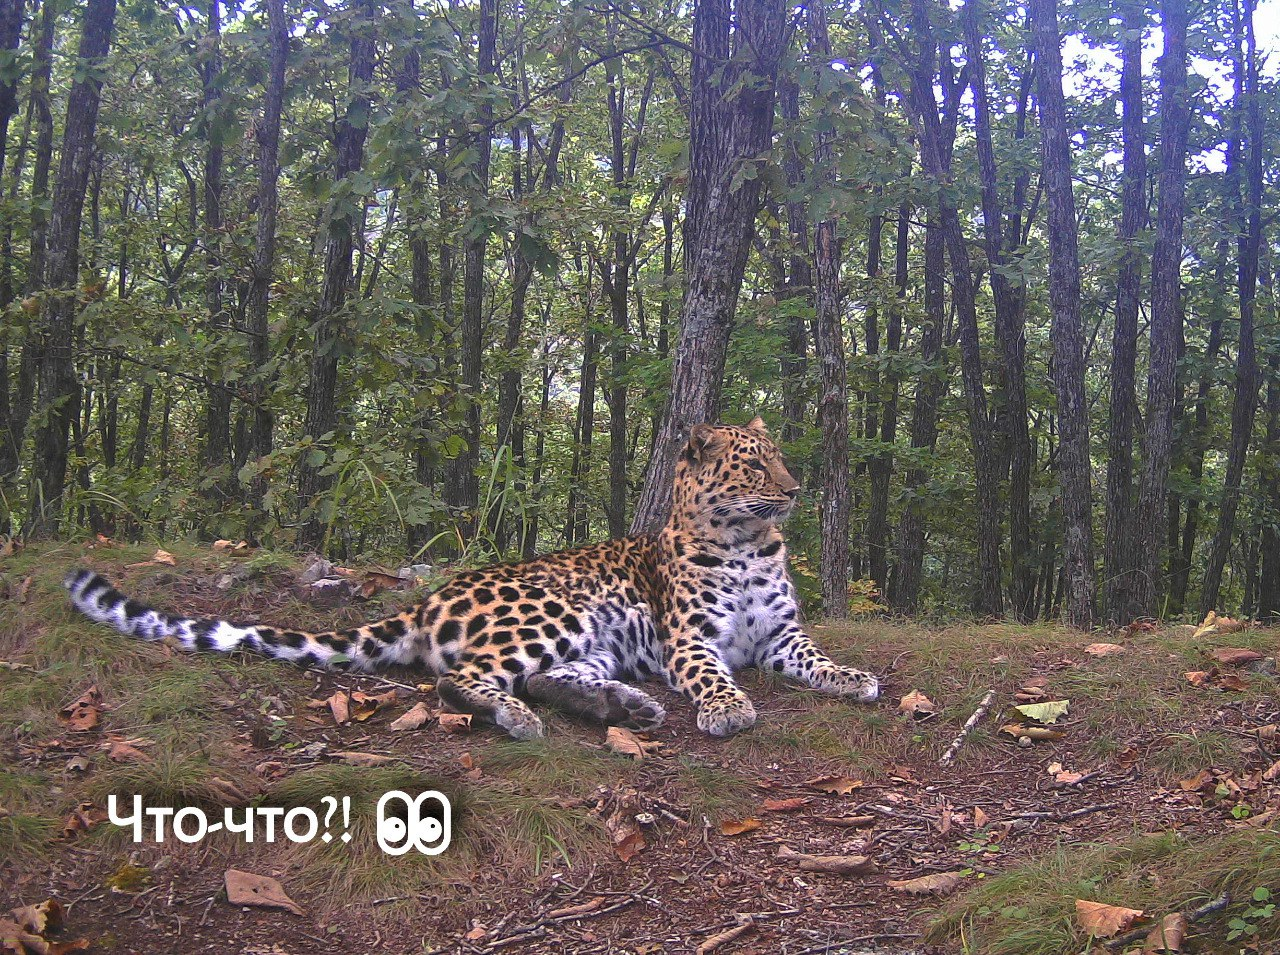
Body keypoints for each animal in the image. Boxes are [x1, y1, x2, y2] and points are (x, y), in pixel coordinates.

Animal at [67, 417, 880, 737]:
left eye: (779, 460)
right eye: (754, 467)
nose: (797, 489)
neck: (747, 544)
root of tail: (431, 597)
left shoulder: (780, 636)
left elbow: (818, 658)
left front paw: (855, 679)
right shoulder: (692, 640)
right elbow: (714, 675)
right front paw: (729, 708)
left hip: (595, 639)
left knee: (548, 679)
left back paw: (619, 705)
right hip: (554, 610)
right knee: (462, 678)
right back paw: (520, 718)